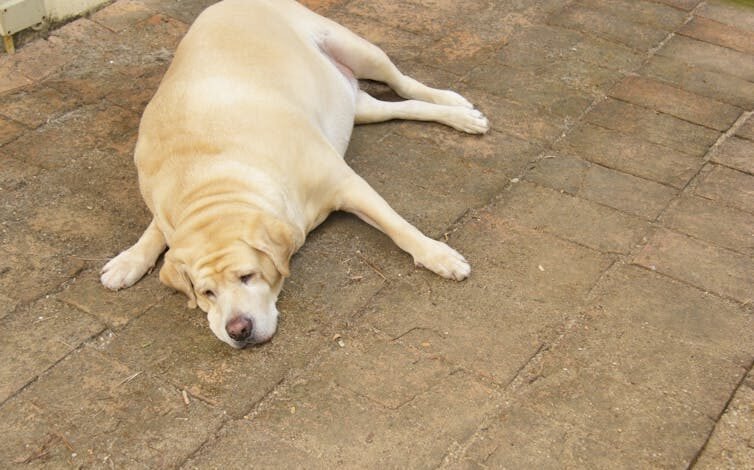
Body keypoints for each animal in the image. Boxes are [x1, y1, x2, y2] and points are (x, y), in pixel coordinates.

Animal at [101, 0, 488, 346]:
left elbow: (398, 226)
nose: (237, 330)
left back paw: (456, 106)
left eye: (248, 276)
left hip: (357, 48)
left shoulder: (347, 184)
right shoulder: (170, 210)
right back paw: (457, 116)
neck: (210, 181)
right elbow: (155, 231)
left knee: (405, 83)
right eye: (206, 292)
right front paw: (128, 260)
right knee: (400, 107)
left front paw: (439, 256)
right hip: (356, 107)